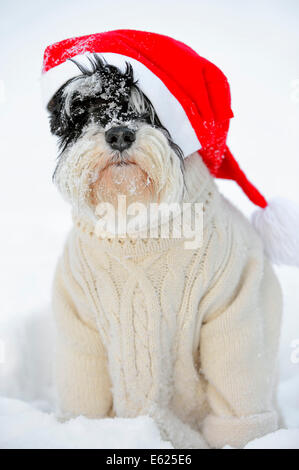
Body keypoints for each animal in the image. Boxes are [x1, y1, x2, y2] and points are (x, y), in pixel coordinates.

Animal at [47, 51, 284, 448]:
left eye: (149, 112)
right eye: (88, 108)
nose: (120, 133)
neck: (137, 226)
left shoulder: (233, 306)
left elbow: (237, 386)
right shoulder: (79, 320)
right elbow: (84, 393)